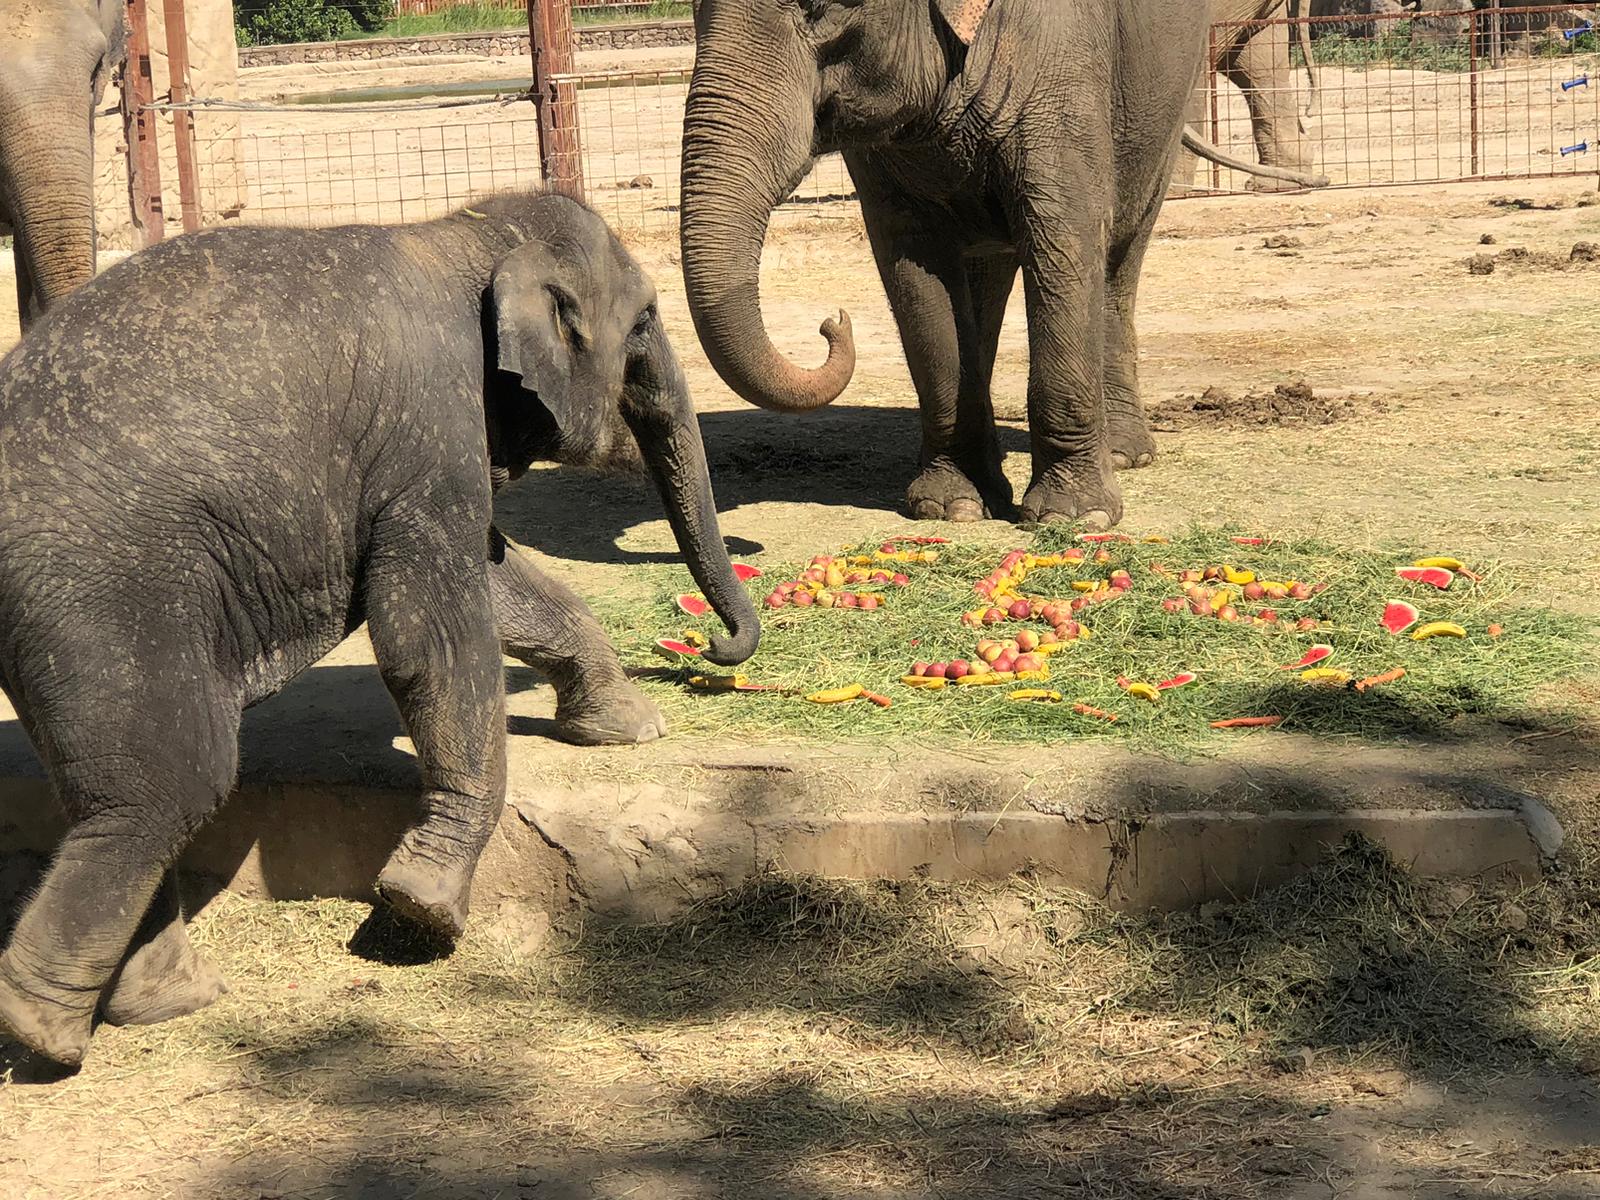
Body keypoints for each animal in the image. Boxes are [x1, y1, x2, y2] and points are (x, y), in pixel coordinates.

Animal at [0, 190, 758, 1068]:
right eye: (645, 321)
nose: (716, 647)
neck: (465, 232)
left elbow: (497, 576)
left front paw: (628, 727)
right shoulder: (428, 424)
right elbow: (431, 636)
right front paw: (422, 909)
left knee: (112, 793)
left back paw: (168, 1002)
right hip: (99, 592)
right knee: (170, 781)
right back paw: (46, 1034)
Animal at [681, 0, 1318, 524]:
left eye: (823, 5)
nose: (832, 321)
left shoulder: (1063, 66)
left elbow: (1064, 236)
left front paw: (1072, 517)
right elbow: (915, 265)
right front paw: (951, 508)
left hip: (1164, 104)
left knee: (1120, 257)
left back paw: (1123, 454)